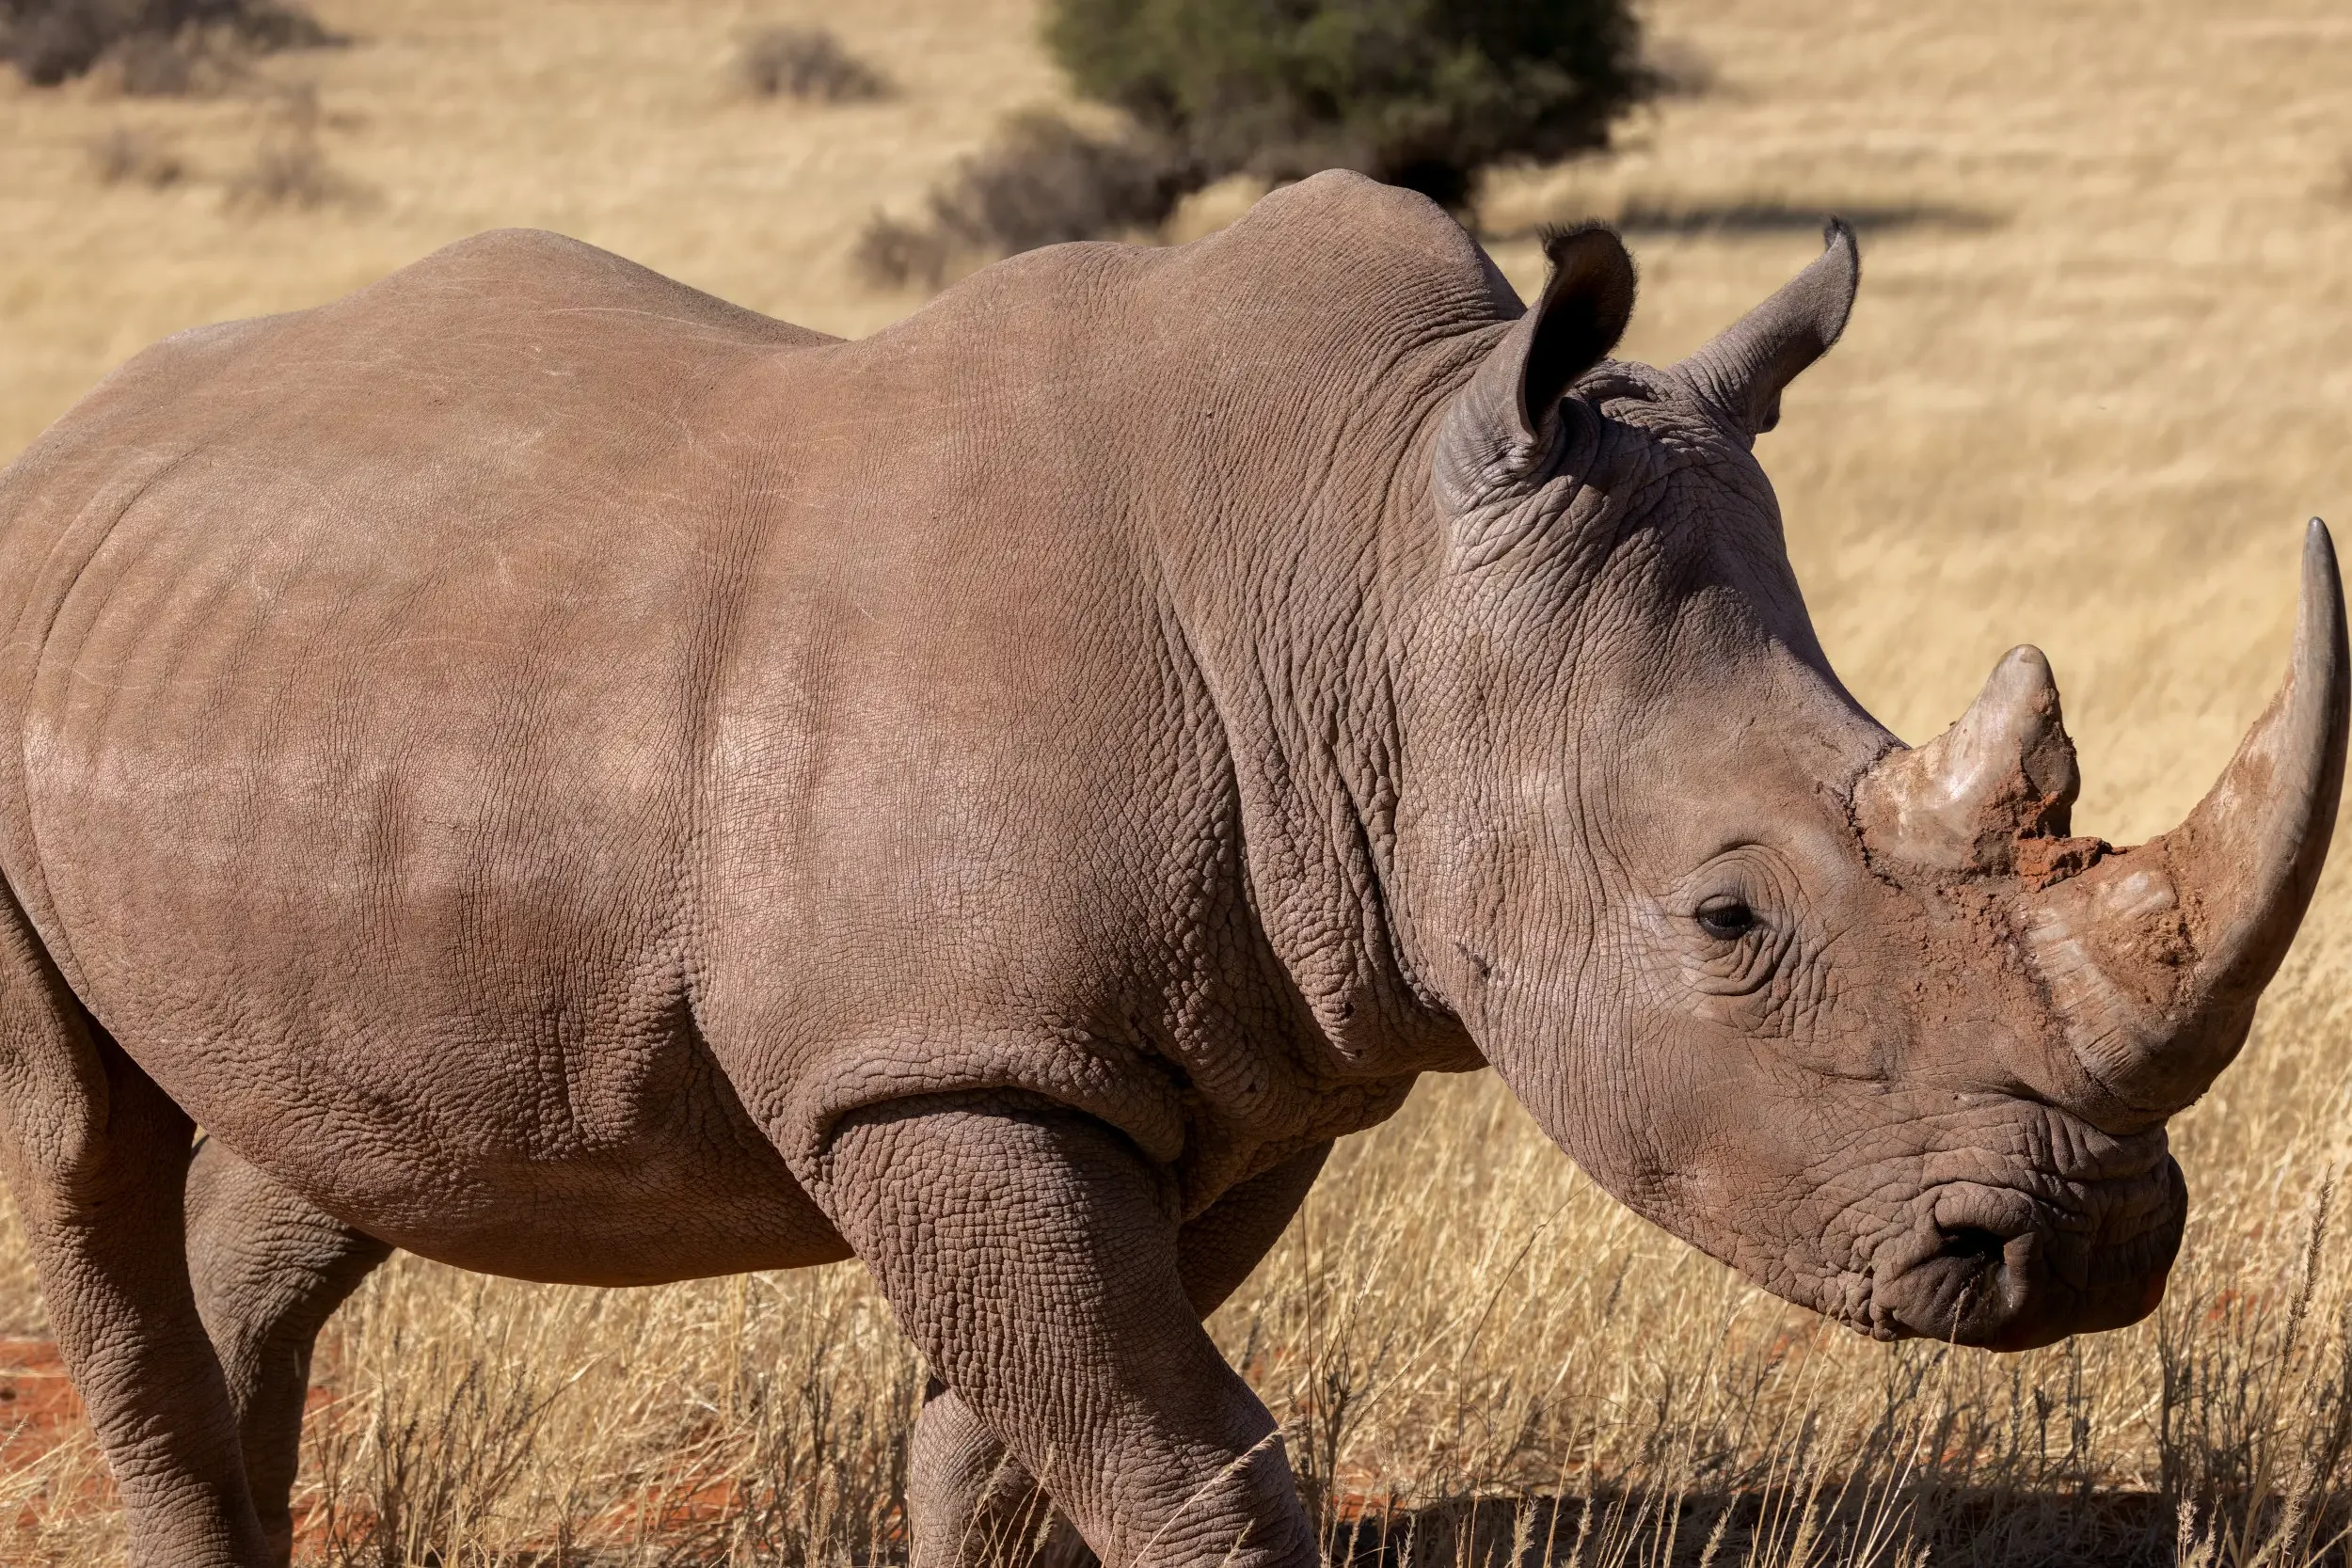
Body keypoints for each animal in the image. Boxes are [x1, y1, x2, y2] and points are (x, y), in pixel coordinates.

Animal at [0, 172, 2340, 1568]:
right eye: (1726, 916)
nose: (2086, 1245)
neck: (1360, 555)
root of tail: (87, 438)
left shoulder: (1251, 1053)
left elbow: (1019, 1441)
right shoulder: (945, 1057)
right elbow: (1174, 1446)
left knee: (341, 1145)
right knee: (83, 1151)